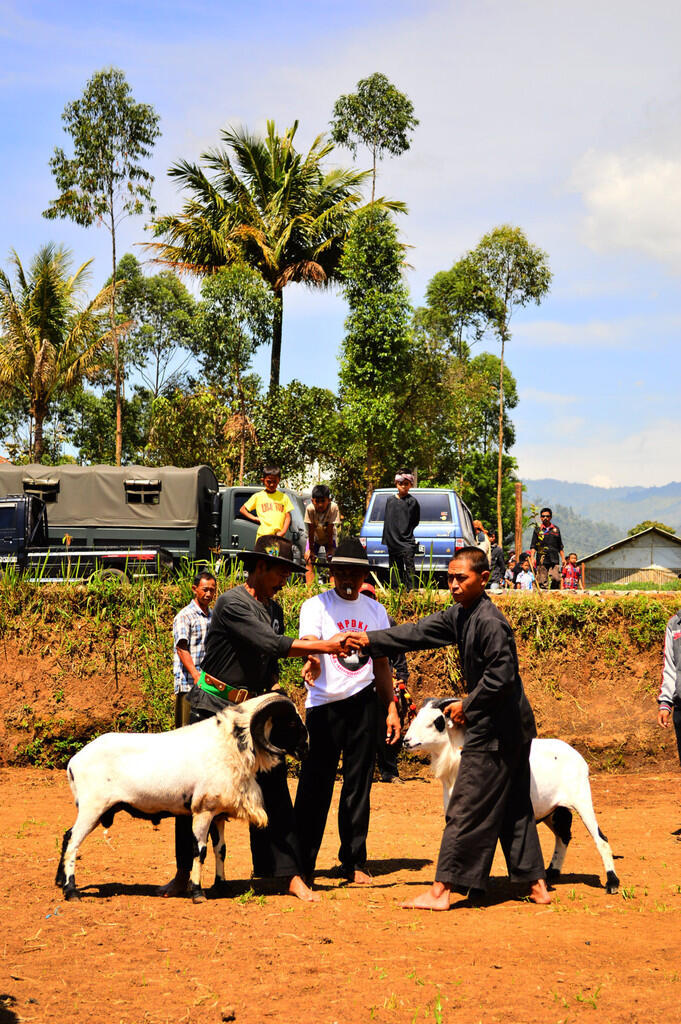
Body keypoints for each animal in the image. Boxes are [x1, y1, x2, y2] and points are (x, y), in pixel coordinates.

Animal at [55, 692, 307, 901]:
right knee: (73, 842)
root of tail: (74, 762)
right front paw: (197, 893)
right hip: (92, 807)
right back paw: (71, 892)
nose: (306, 748)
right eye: (291, 722)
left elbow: (221, 850)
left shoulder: (218, 813)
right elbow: (199, 849)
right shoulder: (202, 810)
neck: (229, 745)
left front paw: (221, 887)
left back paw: (59, 882)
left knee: (67, 836)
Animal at [405, 700, 618, 892]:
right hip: (553, 809)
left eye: (435, 722)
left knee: (601, 839)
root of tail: (578, 756)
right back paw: (552, 872)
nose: (406, 741)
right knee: (563, 835)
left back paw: (612, 883)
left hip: (582, 799)